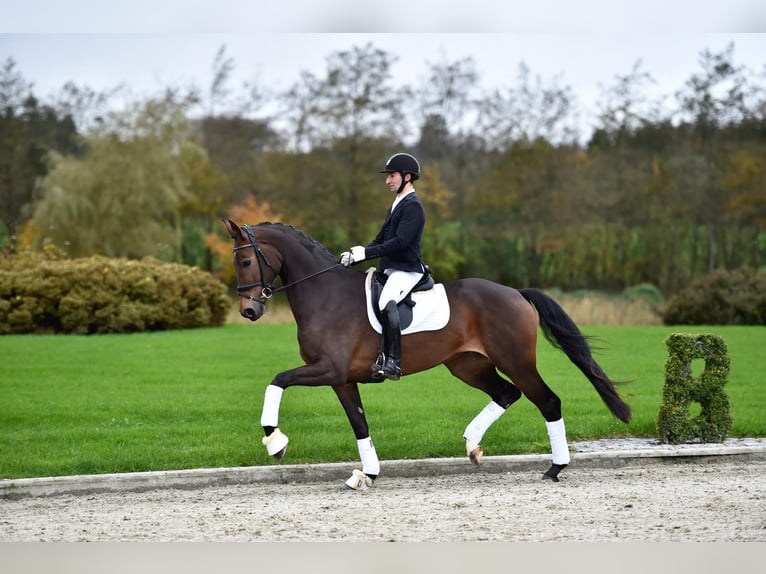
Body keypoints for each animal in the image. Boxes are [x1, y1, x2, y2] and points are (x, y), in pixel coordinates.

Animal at [222, 220, 632, 490]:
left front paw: (275, 441)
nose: (249, 311)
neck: (325, 296)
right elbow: (359, 424)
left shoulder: (328, 370)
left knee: (547, 401)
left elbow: (277, 380)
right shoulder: (342, 379)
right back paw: (472, 445)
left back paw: (554, 468)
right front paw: (366, 474)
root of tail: (515, 292)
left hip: (515, 361)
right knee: (506, 393)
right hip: (467, 365)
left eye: (245, 261)